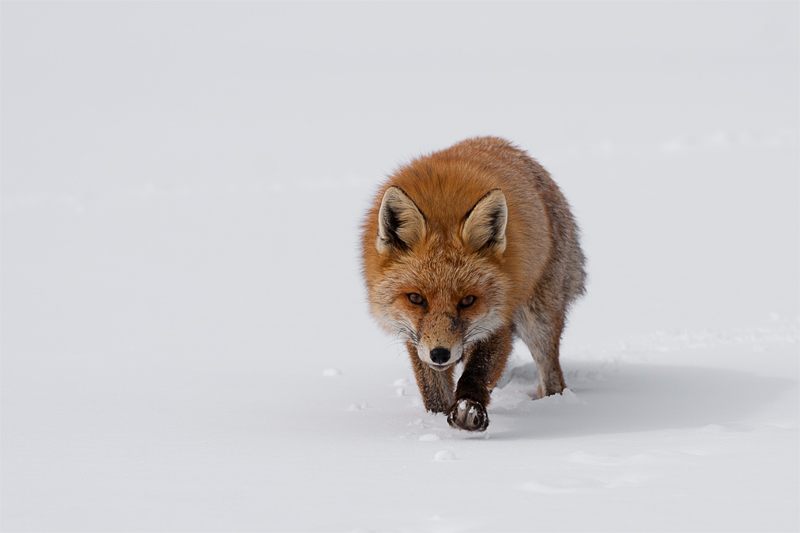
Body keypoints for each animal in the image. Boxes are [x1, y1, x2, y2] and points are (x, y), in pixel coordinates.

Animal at [362, 138, 588, 432]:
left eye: (468, 300)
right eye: (416, 298)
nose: (440, 354)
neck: (443, 206)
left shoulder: (498, 317)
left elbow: (478, 370)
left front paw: (468, 408)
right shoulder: (413, 336)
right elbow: (432, 390)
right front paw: (436, 420)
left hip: (538, 319)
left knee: (552, 376)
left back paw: (554, 406)